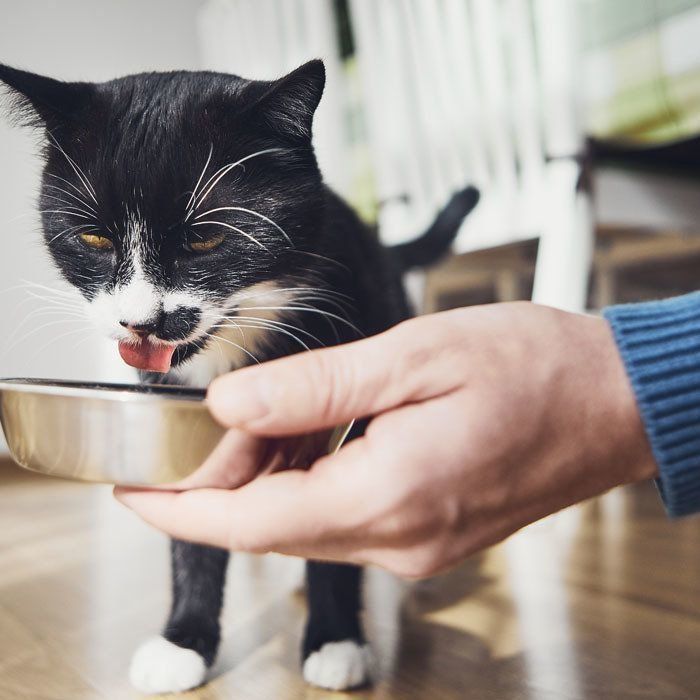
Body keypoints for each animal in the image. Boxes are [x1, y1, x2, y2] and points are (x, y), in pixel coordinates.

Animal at [0, 60, 476, 696]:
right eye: (94, 238)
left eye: (206, 237)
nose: (139, 321)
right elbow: (191, 527)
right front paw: (183, 642)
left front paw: (336, 640)